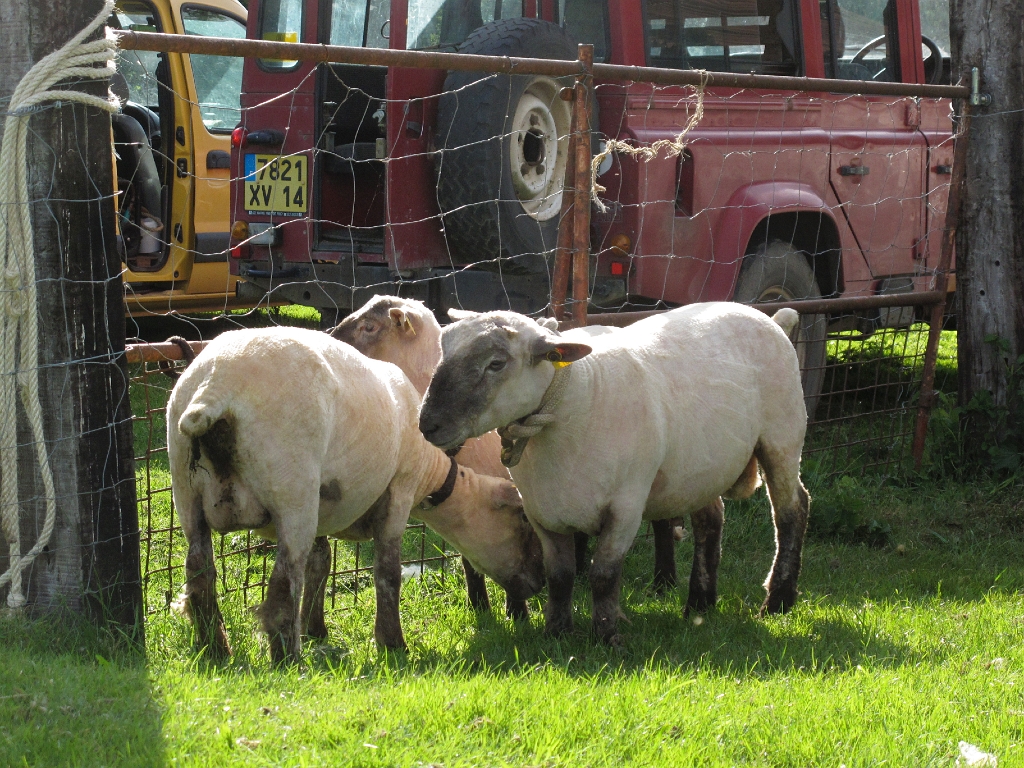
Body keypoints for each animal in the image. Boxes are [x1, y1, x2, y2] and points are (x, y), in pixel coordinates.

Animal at [167, 326, 542, 662]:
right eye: (523, 522)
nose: (536, 586)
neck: (430, 472)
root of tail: (212, 391)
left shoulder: (325, 505)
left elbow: (321, 562)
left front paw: (316, 628)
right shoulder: (399, 490)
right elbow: (387, 572)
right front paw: (392, 644)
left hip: (187, 492)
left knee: (200, 574)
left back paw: (215, 650)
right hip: (292, 487)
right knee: (283, 583)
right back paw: (288, 660)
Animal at [331, 296, 683, 597]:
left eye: (369, 326)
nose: (329, 338)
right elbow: (471, 556)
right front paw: (480, 605)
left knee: (663, 516)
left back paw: (664, 581)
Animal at [418, 303, 810, 644]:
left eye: (496, 364)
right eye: (442, 348)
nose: (427, 425)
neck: (575, 399)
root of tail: (767, 316)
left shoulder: (626, 507)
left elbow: (603, 574)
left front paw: (606, 636)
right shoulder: (541, 511)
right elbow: (560, 575)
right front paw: (556, 633)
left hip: (782, 436)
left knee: (792, 509)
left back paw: (777, 601)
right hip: (701, 466)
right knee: (710, 521)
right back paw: (700, 603)